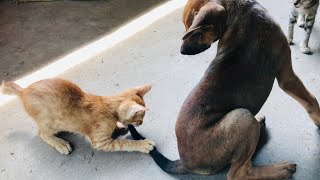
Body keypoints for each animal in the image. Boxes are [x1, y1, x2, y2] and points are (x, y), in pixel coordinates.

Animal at [0, 78, 155, 155]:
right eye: (140, 118)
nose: (141, 123)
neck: (107, 106)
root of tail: (24, 91)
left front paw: (119, 127)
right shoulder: (100, 142)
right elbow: (125, 143)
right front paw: (142, 144)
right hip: (48, 122)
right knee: (42, 134)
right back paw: (60, 143)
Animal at [129, 0, 320, 179]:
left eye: (196, 32)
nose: (182, 51)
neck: (243, 12)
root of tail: (184, 162)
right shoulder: (287, 77)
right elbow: (311, 101)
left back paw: (261, 130)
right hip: (243, 117)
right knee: (238, 173)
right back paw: (280, 169)